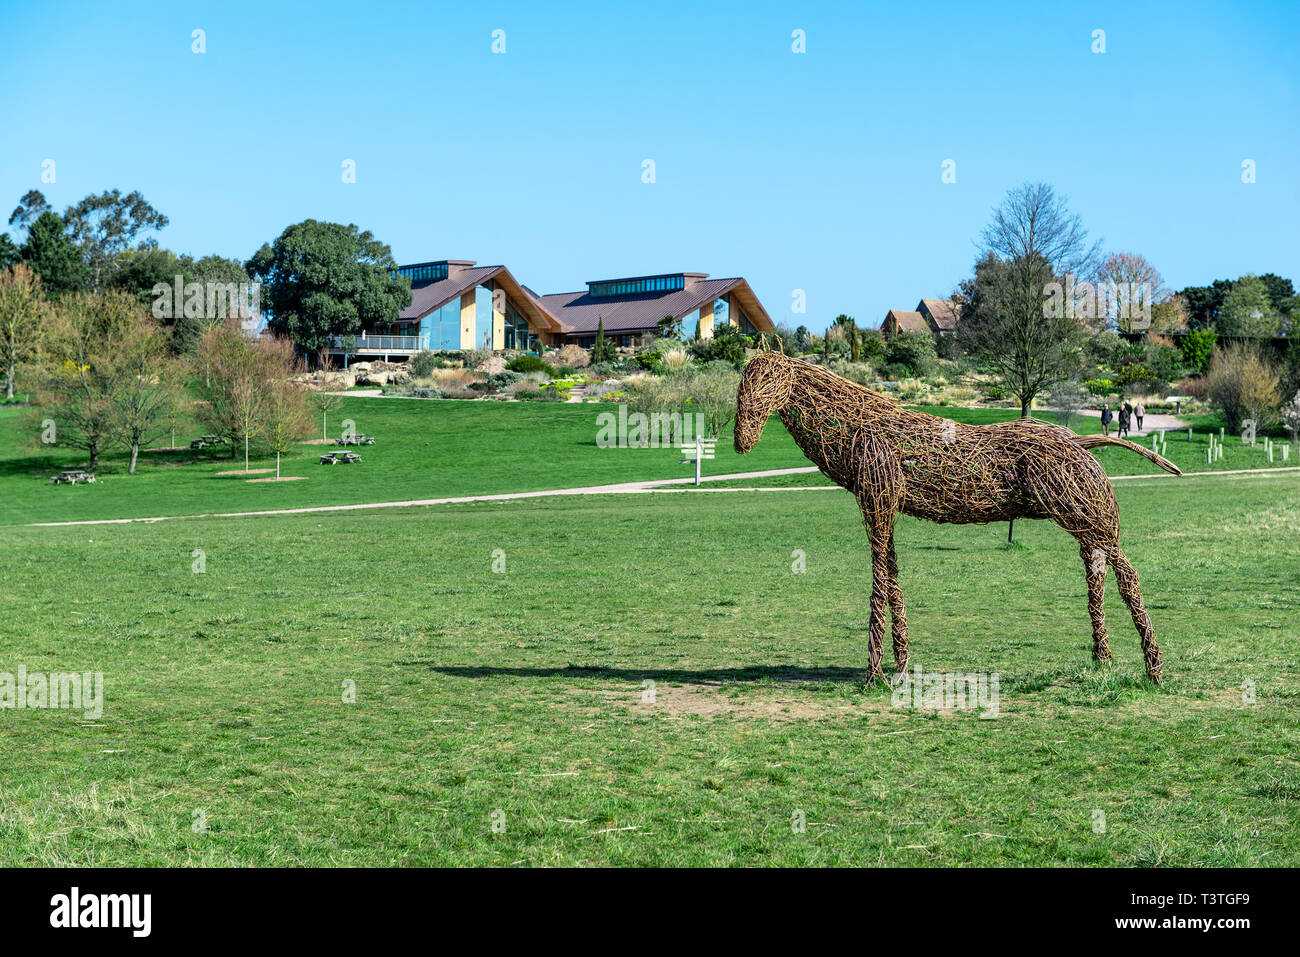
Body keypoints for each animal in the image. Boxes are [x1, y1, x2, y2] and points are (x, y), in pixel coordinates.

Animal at [733, 350, 1179, 686]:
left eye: (769, 381)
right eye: (741, 385)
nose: (742, 441)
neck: (856, 429)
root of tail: (1082, 442)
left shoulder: (877, 502)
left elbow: (878, 584)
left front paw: (873, 675)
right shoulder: (887, 508)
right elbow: (893, 580)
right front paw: (901, 668)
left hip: (1086, 514)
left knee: (1127, 574)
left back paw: (1153, 672)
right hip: (1086, 521)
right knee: (1098, 572)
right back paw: (1102, 662)